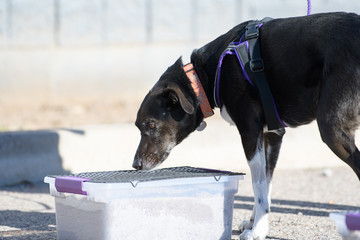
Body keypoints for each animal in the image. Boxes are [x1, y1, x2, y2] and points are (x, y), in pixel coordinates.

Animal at [134, 12, 360, 239]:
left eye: (151, 125)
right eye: (138, 126)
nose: (136, 165)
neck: (205, 74)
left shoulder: (250, 132)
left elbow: (258, 185)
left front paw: (257, 229)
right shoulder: (273, 134)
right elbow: (266, 184)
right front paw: (256, 222)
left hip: (332, 129)